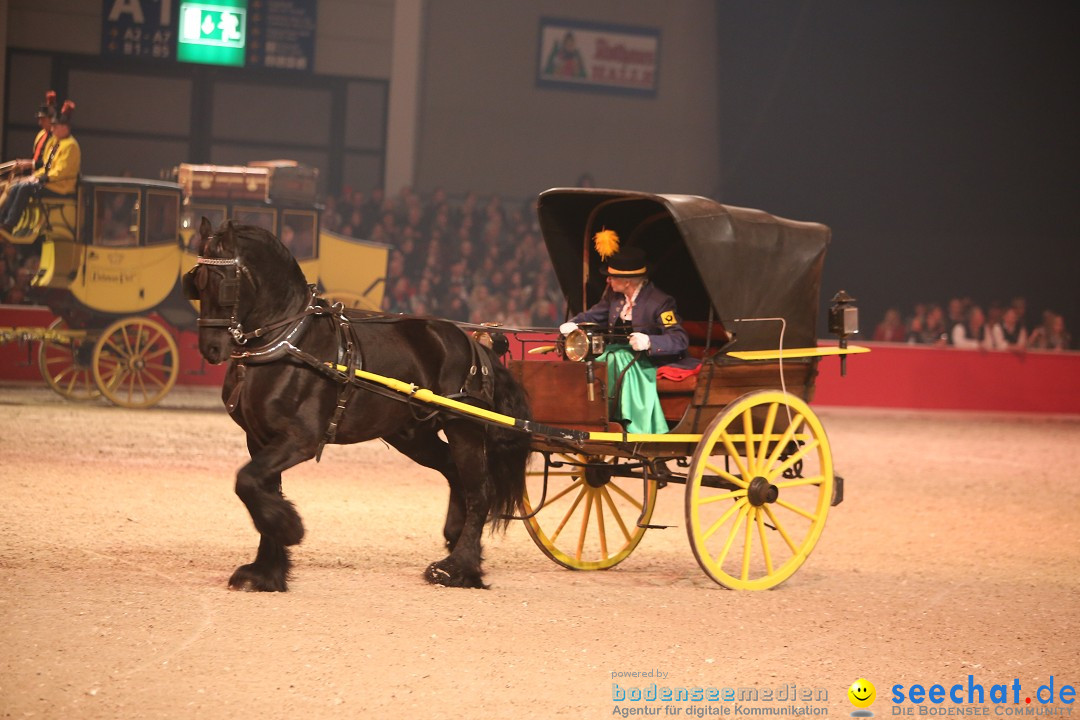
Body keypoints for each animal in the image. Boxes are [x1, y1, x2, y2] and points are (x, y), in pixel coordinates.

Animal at [187, 221, 533, 591]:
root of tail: (473, 343)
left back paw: (458, 568)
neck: (288, 342)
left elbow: (247, 481)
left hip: (462, 426)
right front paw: (266, 571)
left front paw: (291, 529)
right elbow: (260, 487)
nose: (211, 348)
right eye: (196, 283)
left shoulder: (300, 439)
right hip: (412, 435)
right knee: (454, 473)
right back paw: (456, 542)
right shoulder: (259, 438)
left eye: (225, 283)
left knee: (479, 491)